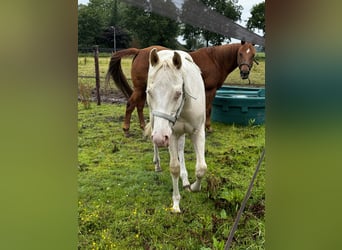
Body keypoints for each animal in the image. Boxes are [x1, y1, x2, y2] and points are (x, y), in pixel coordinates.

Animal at [105, 41, 255, 136]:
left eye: (252, 55)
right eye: (240, 54)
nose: (244, 72)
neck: (216, 60)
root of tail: (140, 51)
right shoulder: (210, 90)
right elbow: (208, 109)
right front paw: (208, 127)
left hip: (143, 89)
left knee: (140, 106)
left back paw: (143, 127)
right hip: (139, 88)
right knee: (131, 104)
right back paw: (126, 129)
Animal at [144, 48, 206, 213]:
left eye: (178, 93)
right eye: (149, 92)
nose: (160, 138)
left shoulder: (198, 131)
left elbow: (201, 168)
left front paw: (194, 186)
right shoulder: (170, 135)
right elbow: (174, 168)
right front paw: (176, 203)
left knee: (181, 149)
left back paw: (185, 180)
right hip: (154, 120)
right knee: (154, 141)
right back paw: (157, 164)